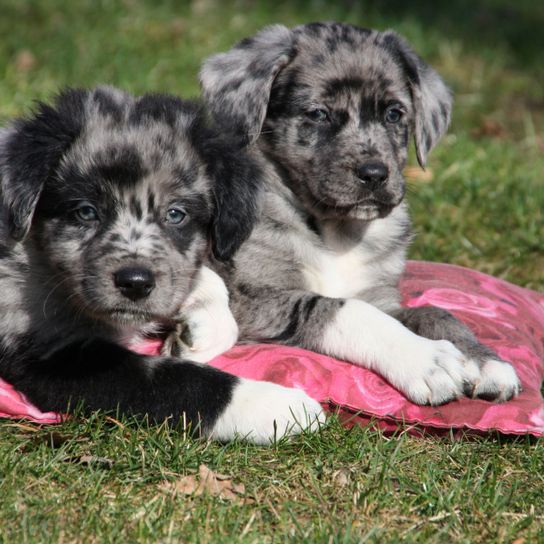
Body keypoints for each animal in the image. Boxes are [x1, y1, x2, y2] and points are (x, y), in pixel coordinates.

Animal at [0, 85, 324, 442]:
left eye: (176, 214)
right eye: (86, 211)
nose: (135, 283)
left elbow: (203, 283)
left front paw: (201, 326)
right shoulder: (52, 352)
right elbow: (172, 381)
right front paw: (277, 407)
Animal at [197, 22, 524, 404]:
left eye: (394, 114)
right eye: (319, 114)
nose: (374, 174)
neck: (337, 232)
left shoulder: (380, 295)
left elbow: (433, 311)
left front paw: (482, 359)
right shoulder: (250, 298)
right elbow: (340, 308)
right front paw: (426, 359)